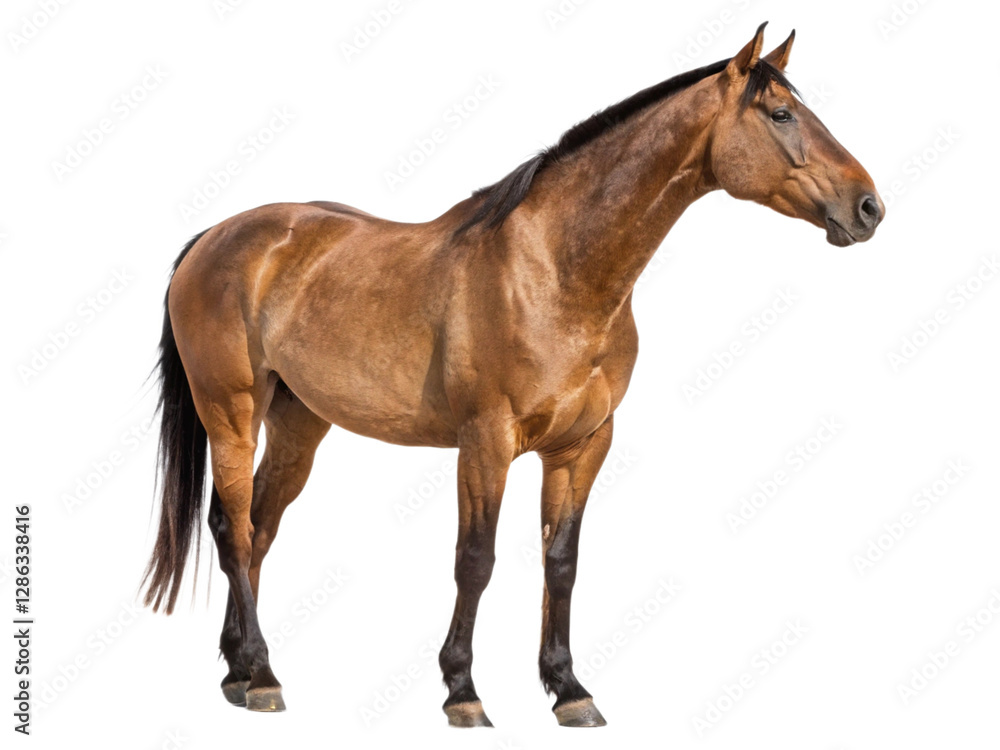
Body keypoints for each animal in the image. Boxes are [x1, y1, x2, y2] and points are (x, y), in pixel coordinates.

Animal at [142, 23, 884, 727]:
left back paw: (241, 674)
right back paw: (263, 676)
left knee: (260, 529)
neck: (555, 270)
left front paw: (569, 691)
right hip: (231, 413)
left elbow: (563, 562)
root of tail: (214, 237)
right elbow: (476, 560)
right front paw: (462, 693)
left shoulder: (582, 447)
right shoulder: (486, 442)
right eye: (782, 113)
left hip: (299, 422)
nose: (869, 207)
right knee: (233, 528)